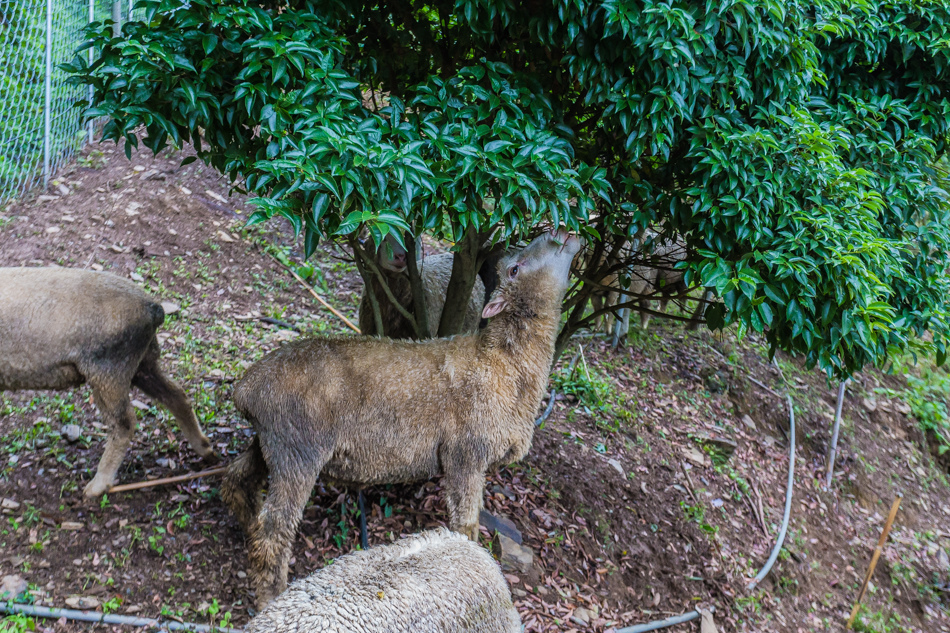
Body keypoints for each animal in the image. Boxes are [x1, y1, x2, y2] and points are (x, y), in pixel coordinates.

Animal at [0, 264, 216, 496]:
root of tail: (153, 308)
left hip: (109, 369)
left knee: (124, 423)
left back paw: (98, 485)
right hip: (142, 362)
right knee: (177, 396)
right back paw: (206, 449)